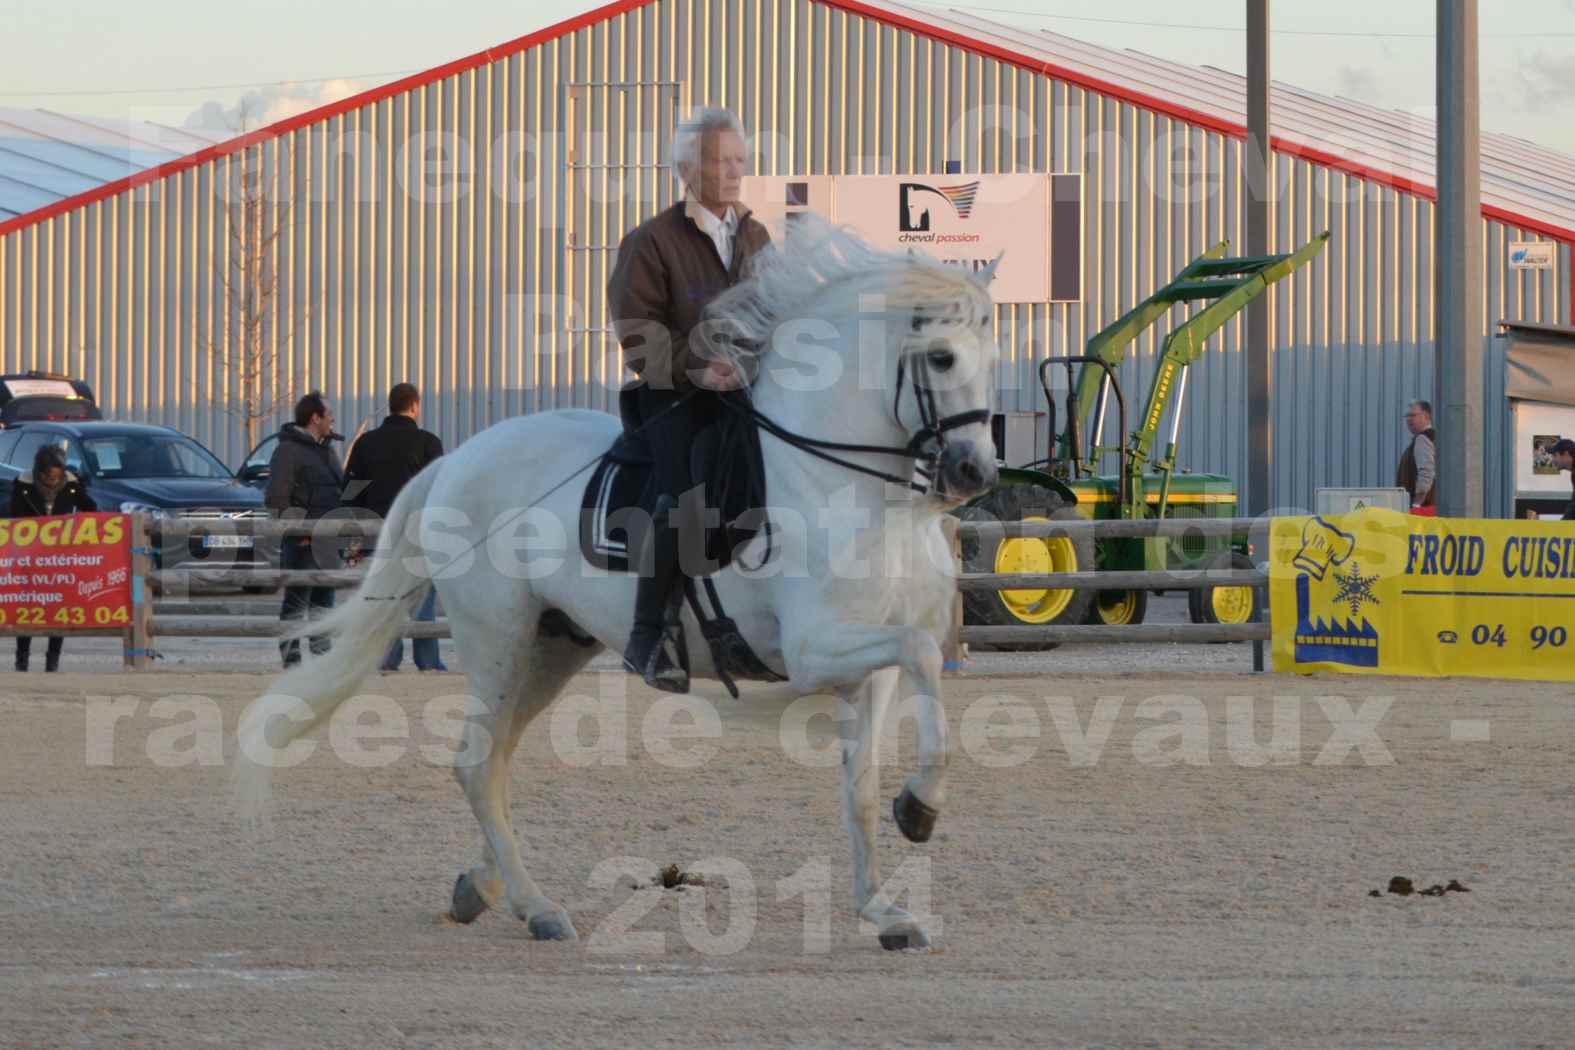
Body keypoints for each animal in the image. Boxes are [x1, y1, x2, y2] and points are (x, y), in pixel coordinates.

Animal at [233, 223, 995, 950]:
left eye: (990, 362)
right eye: (940, 358)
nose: (975, 472)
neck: (845, 484)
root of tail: (458, 459)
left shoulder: (870, 670)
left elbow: (863, 785)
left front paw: (886, 906)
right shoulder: (813, 652)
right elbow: (922, 655)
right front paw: (921, 809)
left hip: (553, 648)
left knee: (494, 761)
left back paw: (482, 887)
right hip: (498, 640)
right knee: (478, 763)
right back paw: (536, 907)